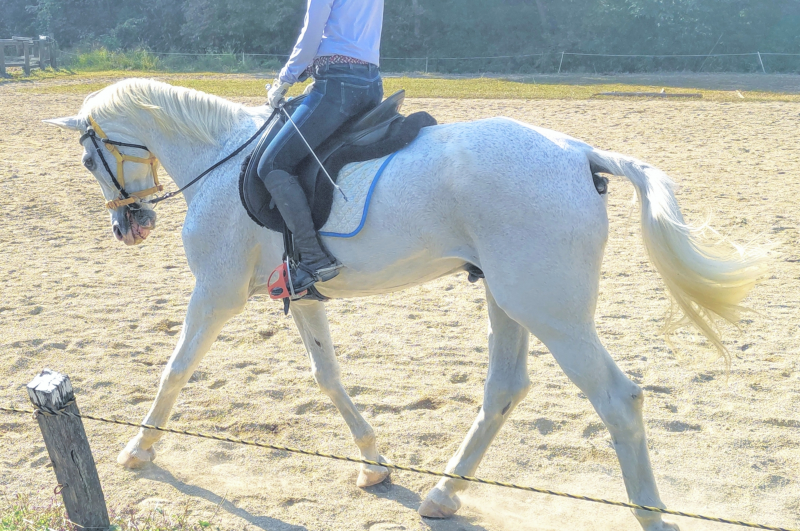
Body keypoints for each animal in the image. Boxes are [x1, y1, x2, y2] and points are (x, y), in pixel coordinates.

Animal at [44, 78, 766, 531]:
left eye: (87, 159)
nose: (130, 227)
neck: (220, 161)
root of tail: (580, 154)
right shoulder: (302, 294)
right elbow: (327, 376)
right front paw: (373, 463)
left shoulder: (215, 292)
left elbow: (176, 367)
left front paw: (138, 450)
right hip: (507, 299)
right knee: (504, 389)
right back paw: (443, 493)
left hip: (549, 309)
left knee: (617, 399)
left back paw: (647, 512)